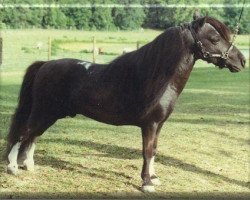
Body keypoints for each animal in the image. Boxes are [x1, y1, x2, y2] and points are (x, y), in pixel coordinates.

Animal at [6, 14, 246, 193]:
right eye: (214, 38)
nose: (242, 61)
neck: (156, 77)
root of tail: (45, 65)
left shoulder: (158, 125)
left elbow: (154, 150)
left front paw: (153, 177)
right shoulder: (149, 124)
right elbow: (147, 151)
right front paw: (147, 184)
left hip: (49, 115)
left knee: (32, 136)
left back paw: (28, 165)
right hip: (43, 112)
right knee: (23, 133)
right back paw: (12, 167)